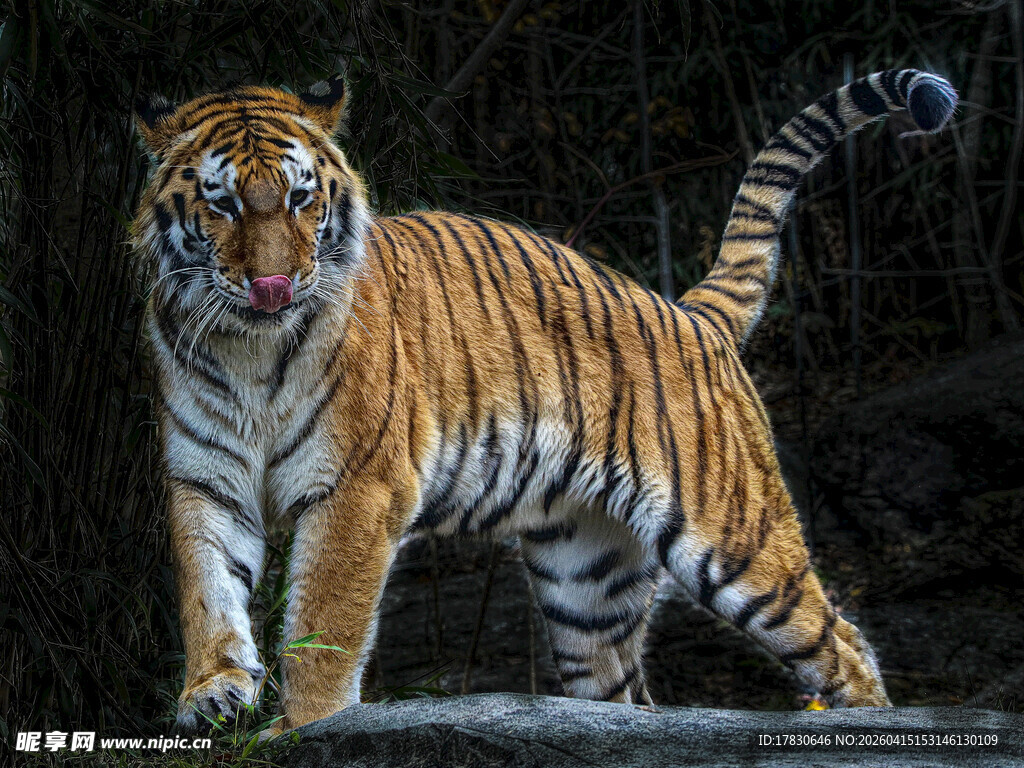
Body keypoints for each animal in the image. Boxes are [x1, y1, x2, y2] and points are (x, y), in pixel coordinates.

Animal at [132, 68, 957, 733]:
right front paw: (215, 690)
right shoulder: (204, 479)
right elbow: (207, 588)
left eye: (301, 200)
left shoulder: (358, 490)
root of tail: (689, 310)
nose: (273, 286)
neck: (247, 345)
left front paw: (305, 726)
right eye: (223, 205)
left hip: (737, 541)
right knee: (625, 697)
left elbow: (325, 624)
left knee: (843, 643)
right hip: (586, 583)